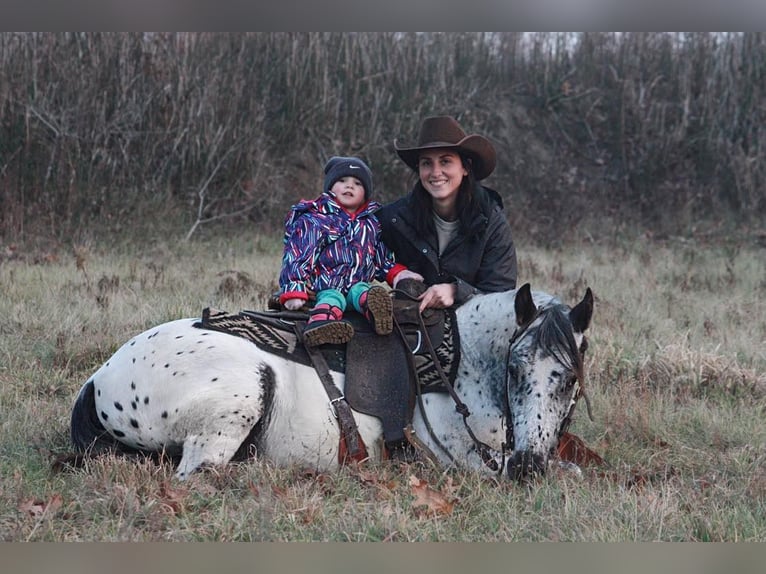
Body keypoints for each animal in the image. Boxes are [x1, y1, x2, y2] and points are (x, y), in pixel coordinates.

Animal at [70, 286, 592, 484]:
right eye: (514, 370)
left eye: (569, 378)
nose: (528, 466)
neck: (462, 361)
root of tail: (98, 381)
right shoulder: (461, 461)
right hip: (240, 396)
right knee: (200, 471)